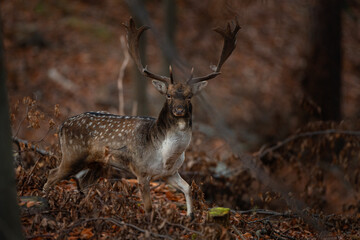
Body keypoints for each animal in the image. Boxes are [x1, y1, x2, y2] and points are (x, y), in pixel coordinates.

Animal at [43, 17, 239, 218]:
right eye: (168, 95)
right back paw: (45, 206)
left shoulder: (170, 173)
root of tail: (61, 126)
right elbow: (149, 209)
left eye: (189, 96)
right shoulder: (141, 171)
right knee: (51, 175)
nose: (179, 110)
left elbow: (188, 188)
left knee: (82, 183)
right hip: (72, 155)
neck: (166, 155)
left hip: (96, 163)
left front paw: (190, 216)